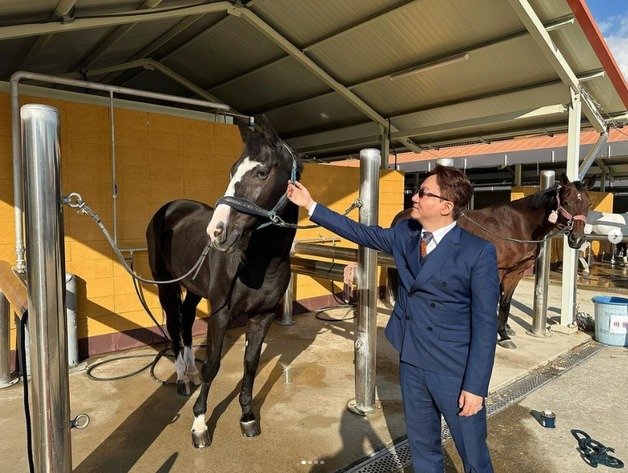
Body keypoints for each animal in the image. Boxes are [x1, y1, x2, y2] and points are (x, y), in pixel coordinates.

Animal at [148, 116, 304, 448]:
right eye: (232, 170)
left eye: (261, 172)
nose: (216, 232)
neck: (259, 261)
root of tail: (170, 207)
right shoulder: (221, 312)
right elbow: (213, 365)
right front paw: (199, 425)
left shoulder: (262, 316)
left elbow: (250, 365)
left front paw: (247, 417)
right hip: (166, 285)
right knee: (174, 327)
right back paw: (182, 379)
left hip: (194, 290)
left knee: (185, 320)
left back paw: (191, 373)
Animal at [390, 172, 596, 346]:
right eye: (566, 202)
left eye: (588, 204)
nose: (577, 239)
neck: (519, 225)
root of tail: (403, 214)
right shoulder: (498, 270)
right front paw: (501, 334)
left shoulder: (515, 272)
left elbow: (505, 302)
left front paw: (504, 333)